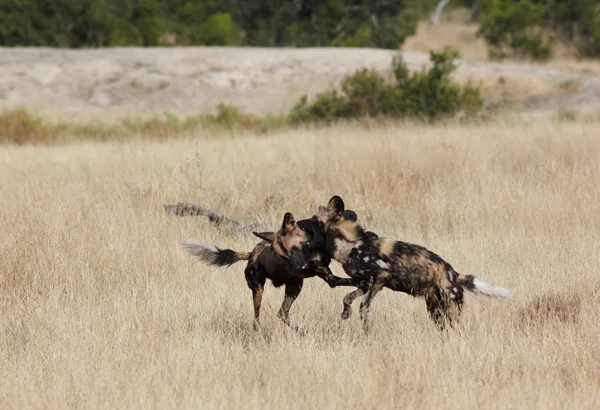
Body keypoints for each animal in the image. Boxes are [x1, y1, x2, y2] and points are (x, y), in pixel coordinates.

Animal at [180, 211, 364, 330]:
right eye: (282, 256)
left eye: (295, 249)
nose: (298, 267)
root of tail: (251, 253)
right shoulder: (331, 279)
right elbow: (354, 281)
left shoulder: (327, 274)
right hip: (261, 290)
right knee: (258, 319)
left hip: (295, 285)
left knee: (281, 314)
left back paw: (300, 331)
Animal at [298, 195, 512, 330]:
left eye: (314, 218)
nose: (298, 222)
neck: (352, 245)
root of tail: (454, 274)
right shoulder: (364, 282)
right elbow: (348, 298)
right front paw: (345, 313)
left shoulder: (379, 278)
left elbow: (363, 306)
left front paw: (366, 329)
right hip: (435, 310)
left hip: (449, 309)